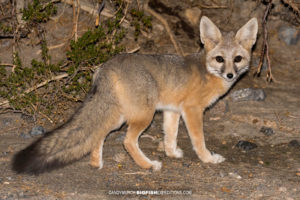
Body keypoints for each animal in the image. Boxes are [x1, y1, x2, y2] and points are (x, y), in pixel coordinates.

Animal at [12, 16, 258, 173]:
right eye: (220, 59)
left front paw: (172, 153)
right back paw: (147, 165)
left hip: (119, 116)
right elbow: (198, 139)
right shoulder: (192, 110)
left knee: (98, 134)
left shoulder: (172, 111)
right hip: (143, 116)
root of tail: (107, 65)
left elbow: (170, 135)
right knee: (127, 141)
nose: (229, 75)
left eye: (237, 59)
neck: (207, 71)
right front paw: (207, 158)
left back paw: (96, 163)